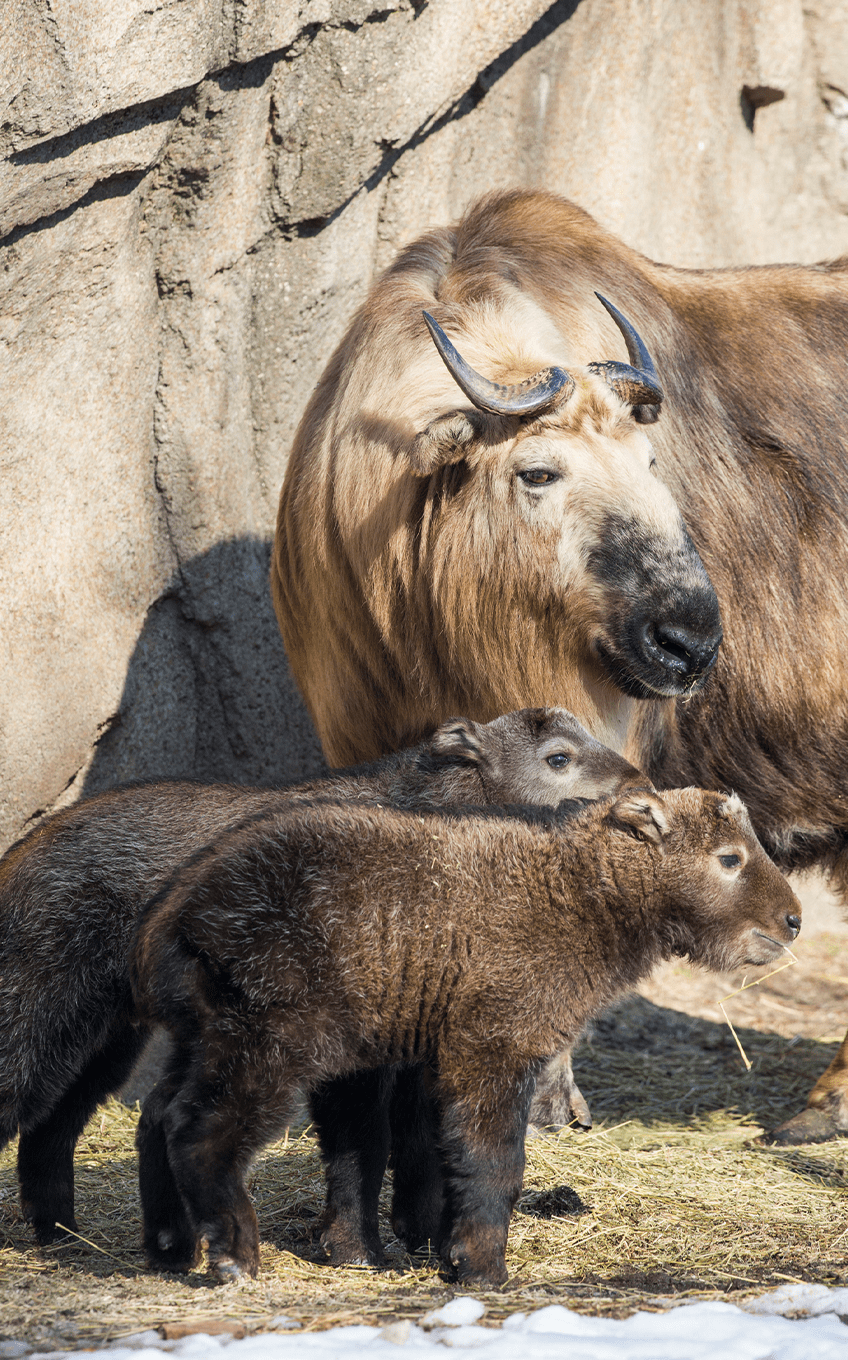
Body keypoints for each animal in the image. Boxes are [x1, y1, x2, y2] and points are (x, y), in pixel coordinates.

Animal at [0, 707, 638, 1245]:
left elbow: (422, 1141)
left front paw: (422, 1234)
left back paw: (59, 1229)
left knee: (54, 1124)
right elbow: (365, 1144)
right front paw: (358, 1245)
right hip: (38, 1011)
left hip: (108, 1034)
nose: (637, 784)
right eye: (558, 758)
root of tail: (16, 859)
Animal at [129, 788, 799, 1283]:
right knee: (200, 1128)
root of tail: (176, 914)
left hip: (206, 1033)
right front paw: (481, 1267)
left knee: (158, 1113)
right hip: (268, 1037)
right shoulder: (495, 1043)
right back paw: (233, 1254)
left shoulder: (430, 1053)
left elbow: (413, 1150)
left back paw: (169, 1245)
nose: (792, 920)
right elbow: (491, 1158)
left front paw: (421, 1248)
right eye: (730, 858)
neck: (580, 895)